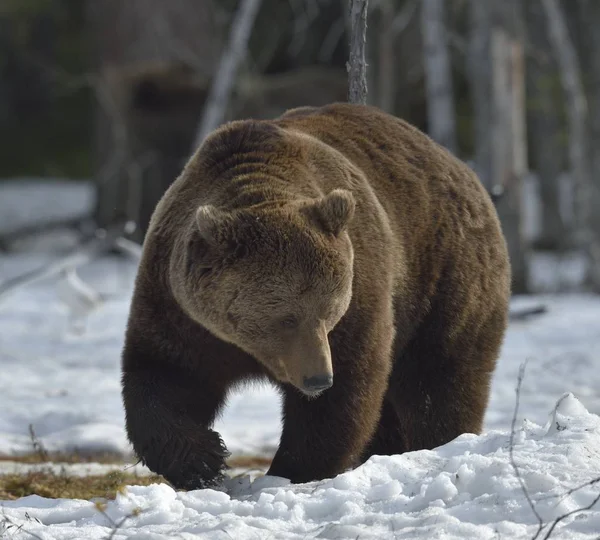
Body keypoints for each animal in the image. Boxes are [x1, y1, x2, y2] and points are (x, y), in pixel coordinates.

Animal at [122, 101, 510, 490]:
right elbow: (164, 375)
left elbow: (346, 391)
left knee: (440, 376)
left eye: (329, 311)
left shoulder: (362, 292)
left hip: (441, 275)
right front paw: (204, 459)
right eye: (285, 318)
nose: (318, 378)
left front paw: (291, 470)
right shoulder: (179, 308)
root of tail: (461, 168)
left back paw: (440, 444)